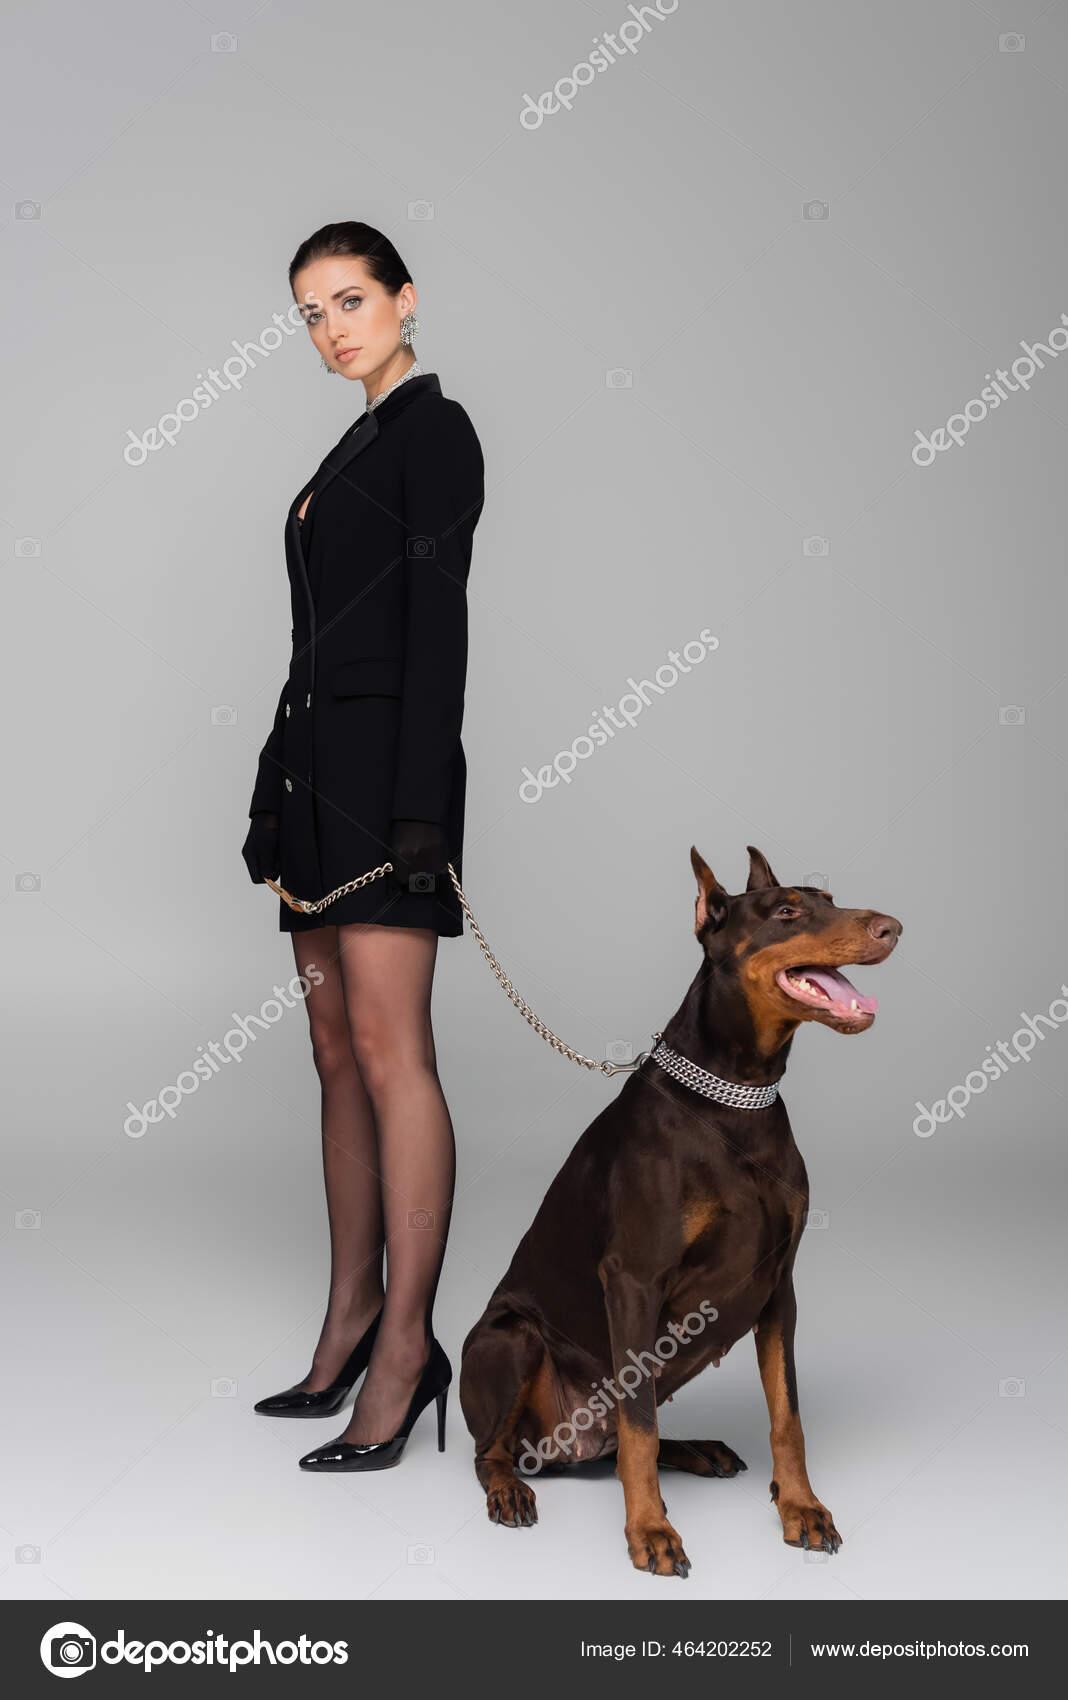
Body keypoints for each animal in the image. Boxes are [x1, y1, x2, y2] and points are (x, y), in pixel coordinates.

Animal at [459, 844, 901, 1577]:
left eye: (831, 898)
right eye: (786, 912)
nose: (892, 927)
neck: (737, 1096)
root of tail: (558, 1450)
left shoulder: (779, 1284)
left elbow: (787, 1415)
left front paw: (801, 1507)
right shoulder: (634, 1280)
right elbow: (638, 1426)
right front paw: (651, 1531)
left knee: (620, 1438)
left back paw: (696, 1449)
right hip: (509, 1339)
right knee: (501, 1449)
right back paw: (510, 1491)